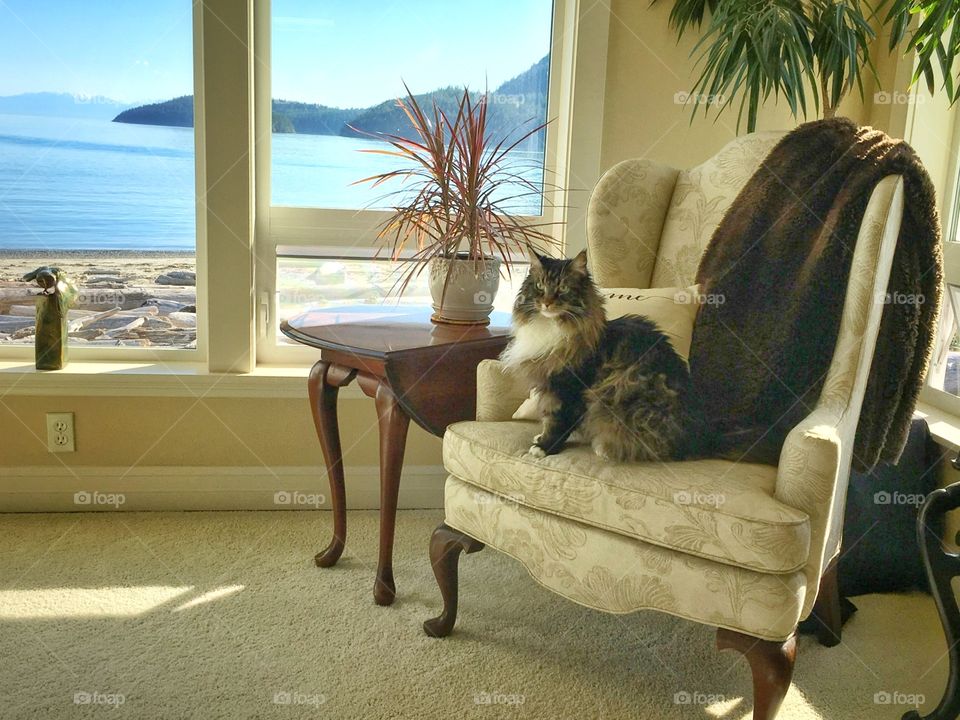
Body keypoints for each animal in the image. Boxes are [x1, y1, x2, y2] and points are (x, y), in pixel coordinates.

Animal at [502, 250, 704, 464]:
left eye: (563, 288)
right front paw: (541, 438)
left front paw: (544, 447)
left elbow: (557, 422)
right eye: (540, 286)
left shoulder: (568, 389)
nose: (547, 303)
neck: (553, 328)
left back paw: (603, 448)